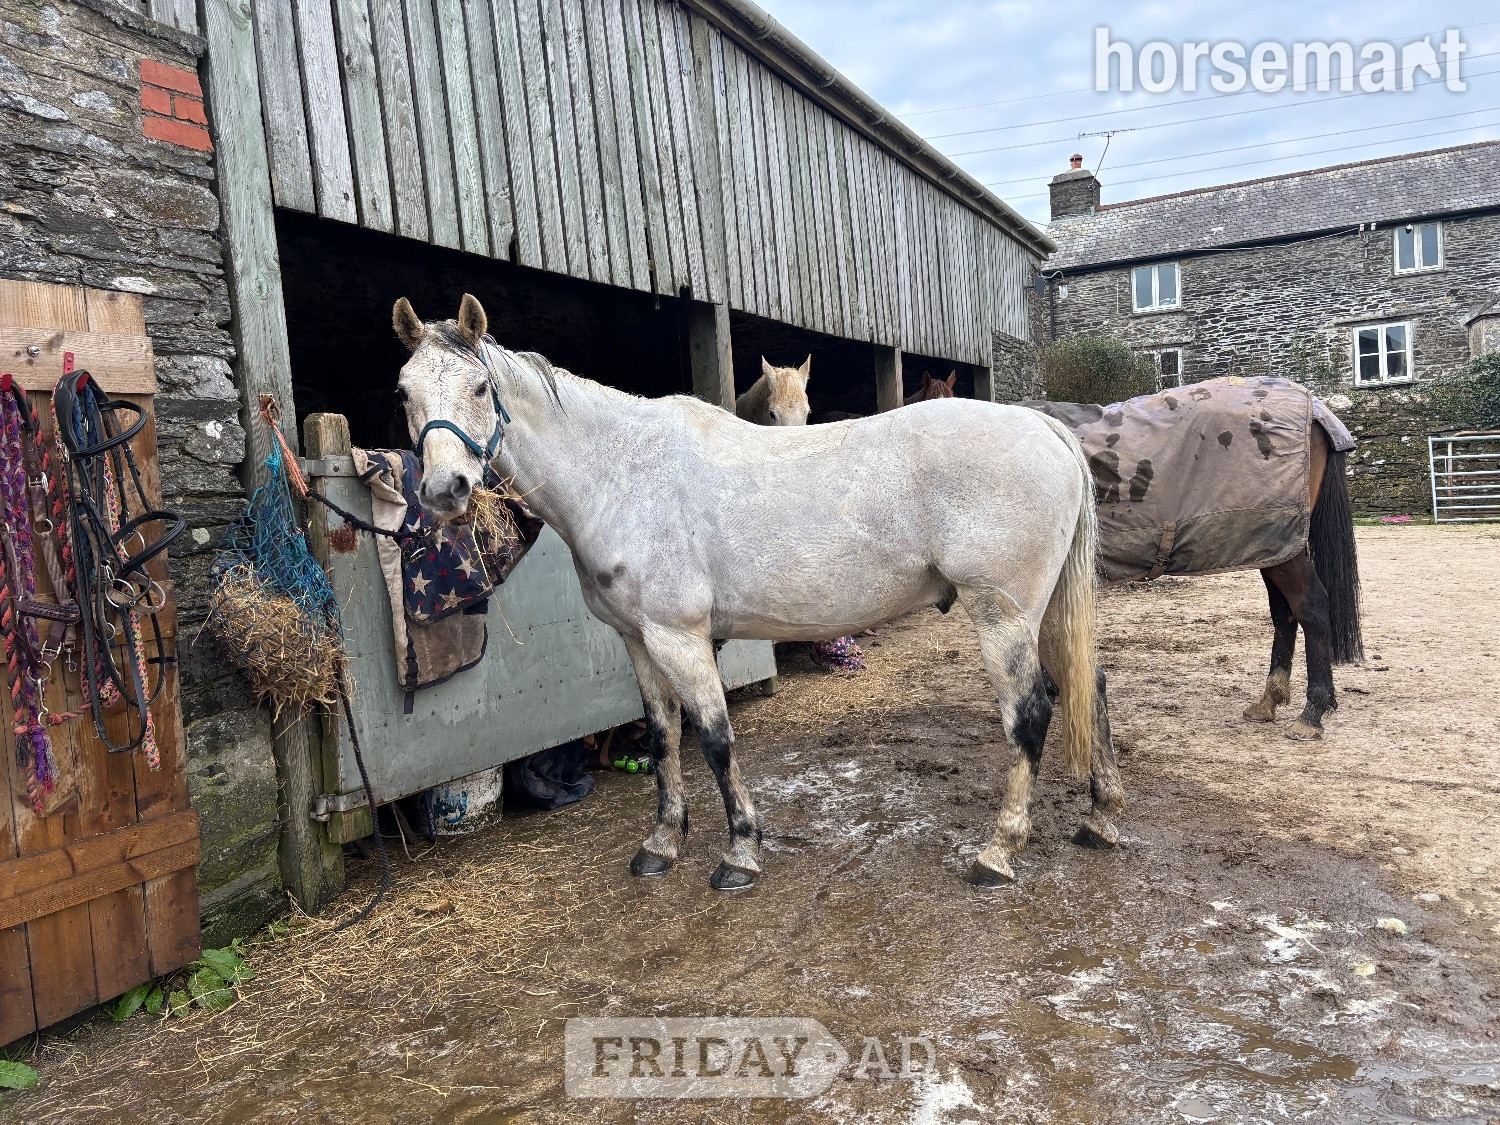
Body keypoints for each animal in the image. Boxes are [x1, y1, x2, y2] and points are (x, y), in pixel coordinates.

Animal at [392, 294, 1121, 889]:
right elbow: (664, 736)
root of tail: (1044, 428)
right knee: (1090, 683)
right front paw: (662, 844)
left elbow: (715, 738)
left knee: (1031, 712)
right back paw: (1101, 818)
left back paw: (998, 852)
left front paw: (740, 853)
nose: (444, 490)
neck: (620, 471)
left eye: (480, 386)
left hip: (1003, 614)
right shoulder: (637, 639)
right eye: (404, 392)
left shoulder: (680, 637)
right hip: (1043, 612)